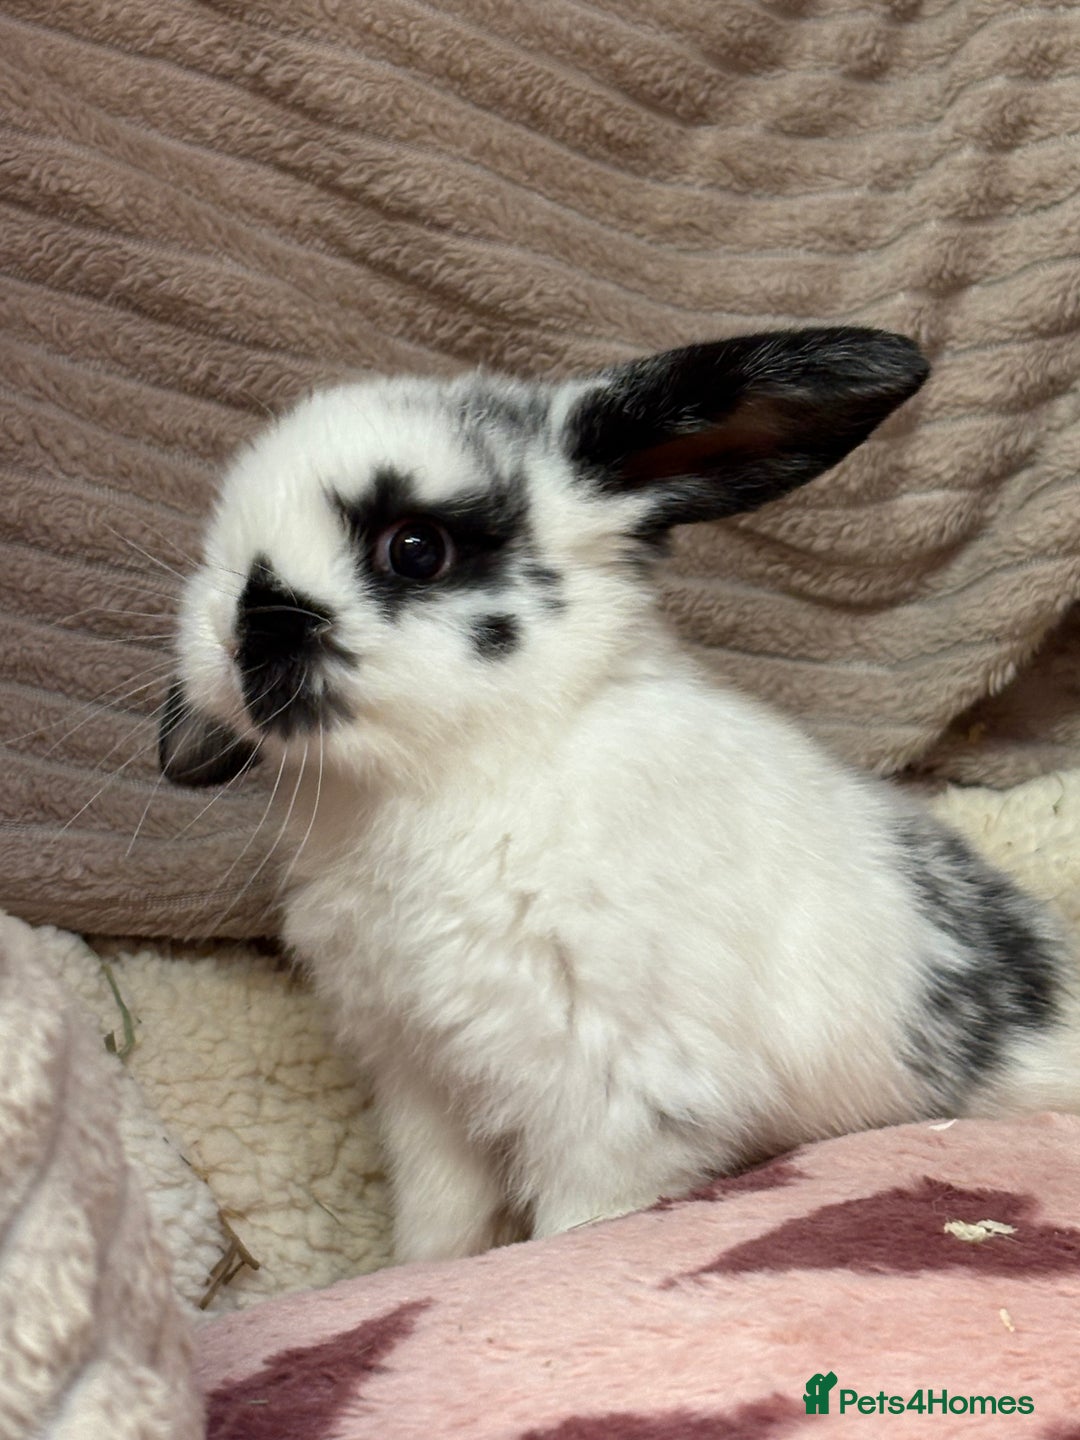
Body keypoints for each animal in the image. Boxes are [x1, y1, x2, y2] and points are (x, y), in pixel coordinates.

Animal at [162, 327, 1080, 1265]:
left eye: (415, 548)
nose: (237, 635)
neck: (466, 769)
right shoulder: (424, 1083)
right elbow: (442, 1220)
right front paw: (409, 1273)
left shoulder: (615, 1092)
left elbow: (582, 1223)